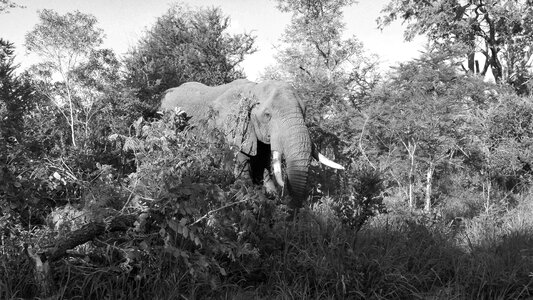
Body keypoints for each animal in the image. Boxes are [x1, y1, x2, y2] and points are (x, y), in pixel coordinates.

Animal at [158, 78, 342, 207]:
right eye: (267, 115)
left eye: (304, 112)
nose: (293, 208)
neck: (254, 89)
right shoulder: (231, 131)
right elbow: (241, 175)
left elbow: (263, 166)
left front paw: (271, 196)